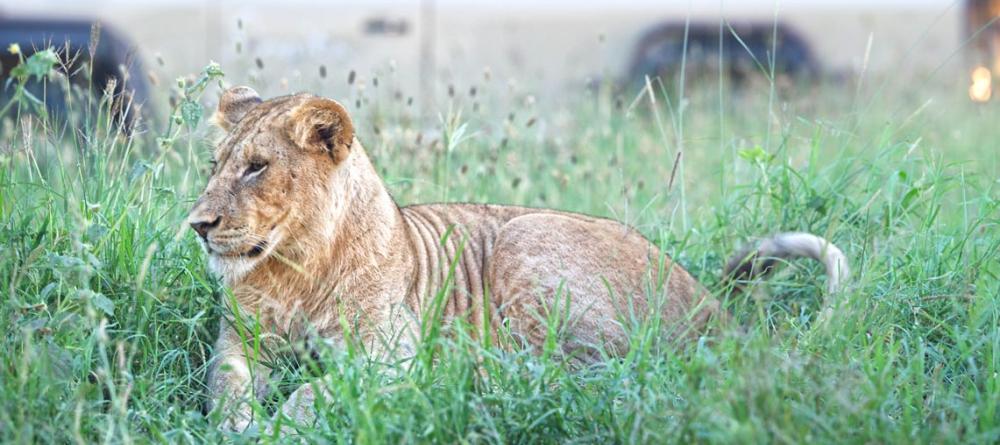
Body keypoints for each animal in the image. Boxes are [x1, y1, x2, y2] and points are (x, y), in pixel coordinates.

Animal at [188, 85, 844, 432]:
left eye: (256, 167)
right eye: (216, 164)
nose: (197, 225)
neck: (294, 268)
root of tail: (714, 310)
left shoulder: (391, 359)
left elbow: (312, 393)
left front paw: (276, 427)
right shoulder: (238, 342)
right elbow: (224, 387)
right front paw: (235, 425)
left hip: (526, 239)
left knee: (591, 376)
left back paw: (475, 381)